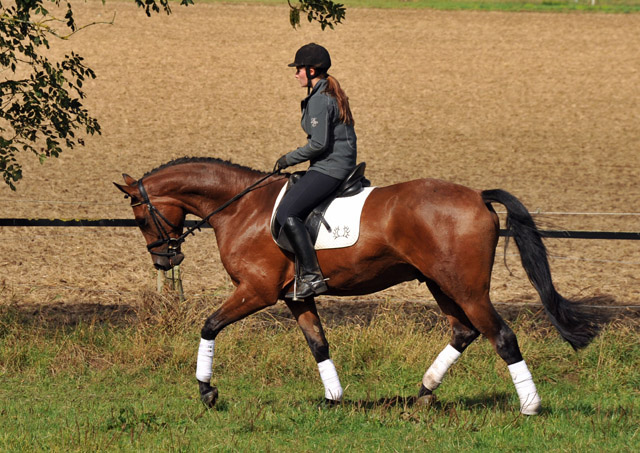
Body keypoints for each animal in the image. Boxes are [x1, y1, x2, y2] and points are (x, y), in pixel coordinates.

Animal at [115, 155, 600, 414]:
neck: (241, 208)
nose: (165, 259)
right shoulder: (295, 298)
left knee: (501, 336)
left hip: (466, 288)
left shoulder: (256, 291)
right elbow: (318, 343)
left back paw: (530, 406)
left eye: (140, 217)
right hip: (439, 283)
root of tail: (477, 196)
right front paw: (333, 397)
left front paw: (207, 391)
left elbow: (209, 325)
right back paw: (423, 394)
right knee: (464, 331)